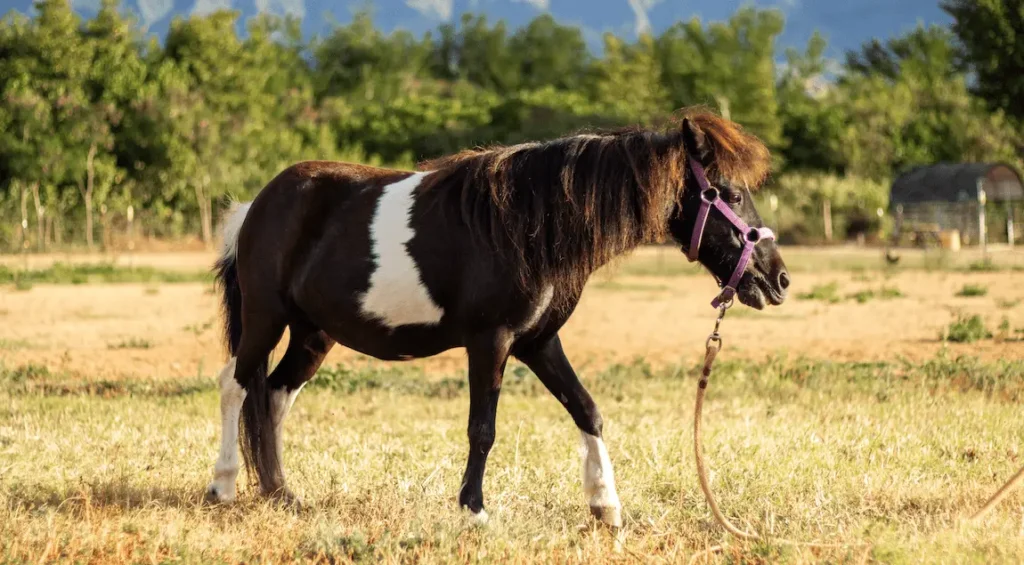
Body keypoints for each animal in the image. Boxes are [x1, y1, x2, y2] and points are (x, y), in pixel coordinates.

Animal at [203, 107, 786, 528]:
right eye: (731, 194)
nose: (777, 278)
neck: (530, 227)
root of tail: (256, 205)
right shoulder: (491, 341)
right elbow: (482, 428)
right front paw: (474, 509)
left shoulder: (539, 342)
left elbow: (588, 410)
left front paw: (606, 506)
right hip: (265, 317)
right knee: (236, 384)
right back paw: (224, 486)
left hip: (314, 333)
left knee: (275, 396)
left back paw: (281, 494)